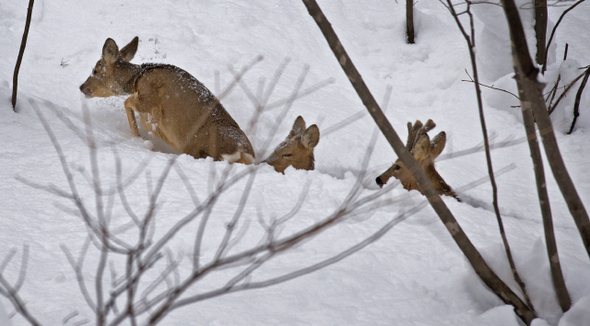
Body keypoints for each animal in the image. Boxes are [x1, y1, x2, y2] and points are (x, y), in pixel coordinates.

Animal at [78, 37, 254, 164]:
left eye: (95, 70)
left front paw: (138, 138)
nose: (81, 86)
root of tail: (243, 152)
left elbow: (127, 102)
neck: (137, 79)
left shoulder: (147, 97)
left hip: (203, 149)